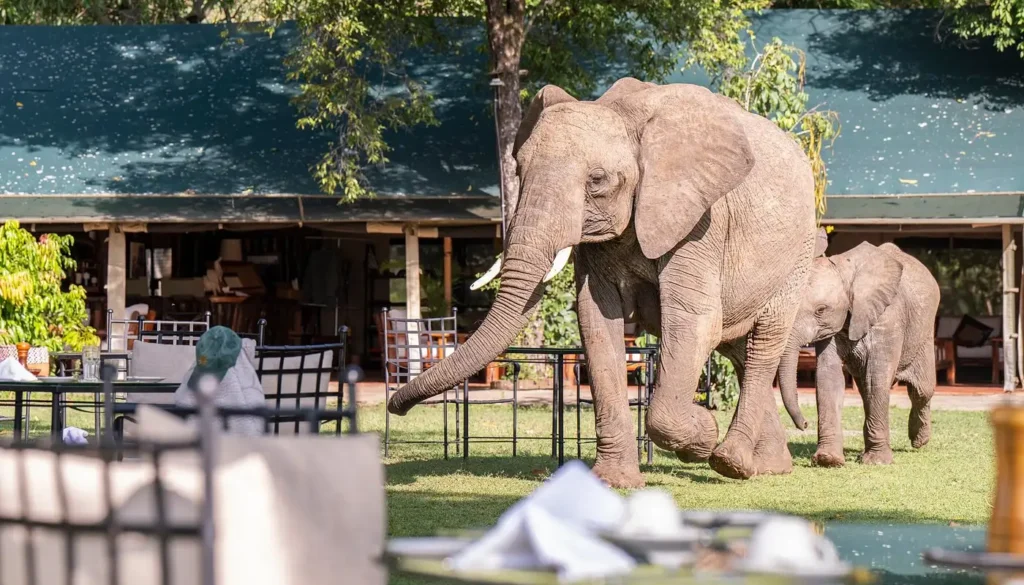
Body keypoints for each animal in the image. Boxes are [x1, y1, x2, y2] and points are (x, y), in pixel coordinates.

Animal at [386, 77, 817, 486]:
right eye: (519, 171)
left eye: (597, 180)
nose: (395, 405)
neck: (625, 115)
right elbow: (596, 322)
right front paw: (614, 482)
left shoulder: (700, 223)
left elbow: (694, 321)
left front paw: (702, 434)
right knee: (739, 350)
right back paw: (768, 468)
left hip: (798, 253)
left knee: (763, 345)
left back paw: (730, 462)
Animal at [777, 239, 940, 467]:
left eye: (820, 310)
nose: (806, 424)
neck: (845, 271)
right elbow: (828, 376)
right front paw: (828, 460)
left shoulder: (888, 316)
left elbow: (877, 377)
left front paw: (877, 462)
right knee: (866, 390)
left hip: (924, 333)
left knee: (922, 389)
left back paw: (919, 441)